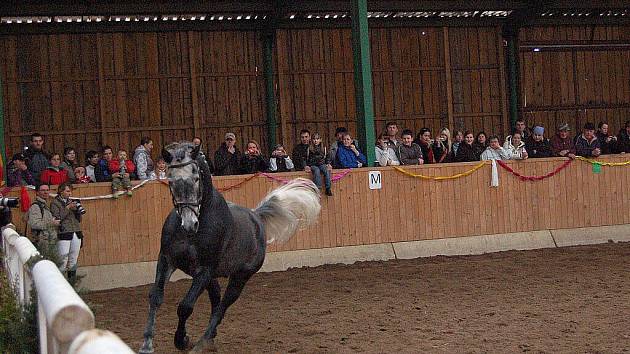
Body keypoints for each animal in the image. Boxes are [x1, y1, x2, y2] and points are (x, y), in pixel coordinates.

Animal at [141, 142, 324, 352]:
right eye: (170, 180)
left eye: (196, 178)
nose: (189, 224)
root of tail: (256, 217)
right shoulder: (166, 260)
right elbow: (155, 297)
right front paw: (147, 344)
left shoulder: (204, 270)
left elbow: (185, 307)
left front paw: (182, 340)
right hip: (210, 277)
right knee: (216, 299)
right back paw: (210, 338)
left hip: (239, 278)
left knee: (222, 307)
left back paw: (203, 342)